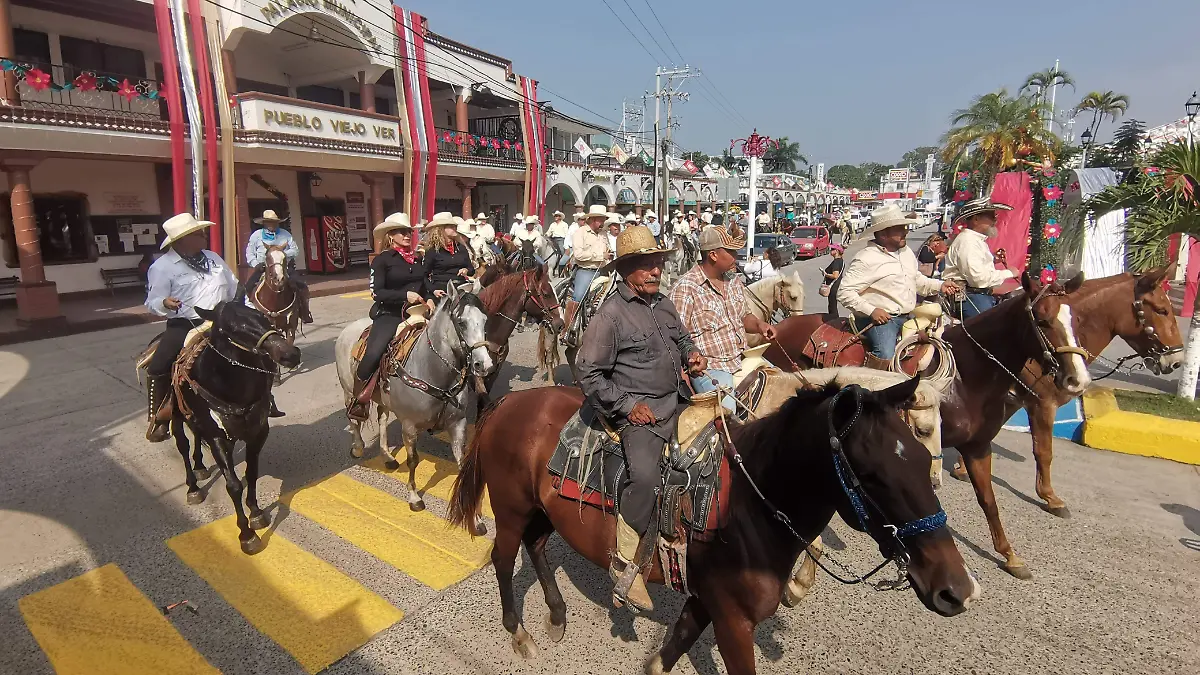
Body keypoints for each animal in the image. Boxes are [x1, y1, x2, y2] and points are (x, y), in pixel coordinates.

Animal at [159, 299, 301, 554]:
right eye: (232, 329)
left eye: (263, 318)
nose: (289, 354)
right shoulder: (217, 437)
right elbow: (233, 485)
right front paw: (247, 535)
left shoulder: (257, 432)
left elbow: (251, 473)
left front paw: (256, 513)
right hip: (176, 416)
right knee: (183, 446)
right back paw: (193, 487)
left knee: (196, 436)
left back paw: (200, 466)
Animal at [333, 281, 494, 525]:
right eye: (461, 322)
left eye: (485, 320)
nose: (484, 365)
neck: (430, 368)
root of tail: (347, 329)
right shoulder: (409, 426)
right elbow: (413, 461)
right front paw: (414, 498)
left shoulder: (457, 423)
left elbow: (461, 463)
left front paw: (474, 518)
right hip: (348, 390)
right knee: (353, 418)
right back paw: (359, 447)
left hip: (383, 398)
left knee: (382, 418)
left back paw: (387, 456)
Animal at [449, 379, 978, 674]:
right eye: (871, 476)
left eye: (922, 460)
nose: (957, 590)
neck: (750, 506)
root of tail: (510, 401)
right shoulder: (734, 622)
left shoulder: (706, 603)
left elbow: (669, 651)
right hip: (511, 508)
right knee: (504, 558)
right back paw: (520, 635)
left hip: (541, 511)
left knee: (537, 546)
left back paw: (557, 616)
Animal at [766, 272, 1096, 578]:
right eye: (1042, 319)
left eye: (1076, 319)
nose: (1077, 380)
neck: (967, 376)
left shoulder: (977, 447)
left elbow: (988, 501)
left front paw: (1010, 555)